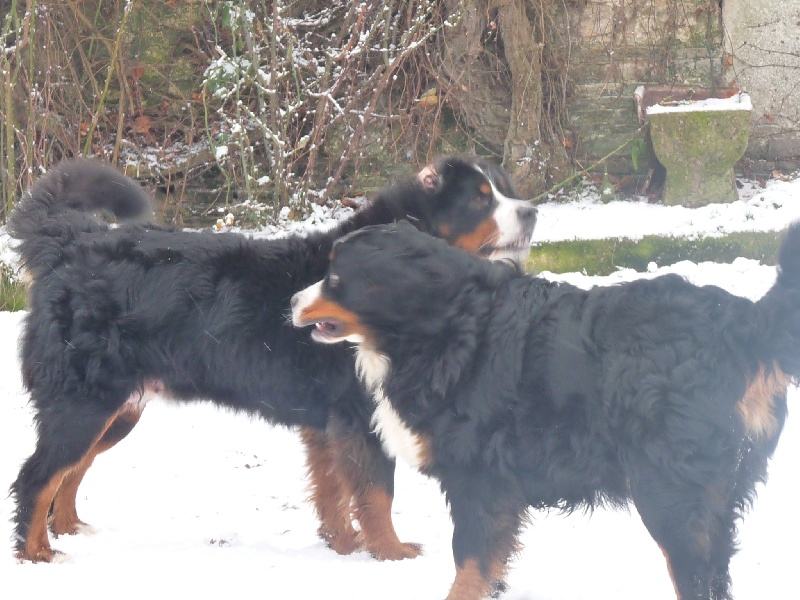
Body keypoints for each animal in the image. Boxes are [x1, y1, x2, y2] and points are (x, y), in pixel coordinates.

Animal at [7, 156, 536, 564]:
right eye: (480, 199)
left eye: (506, 191)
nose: (532, 212)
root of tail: (71, 242)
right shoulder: (360, 415)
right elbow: (377, 494)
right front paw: (391, 554)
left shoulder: (328, 424)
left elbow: (333, 492)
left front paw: (343, 546)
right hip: (83, 402)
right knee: (37, 477)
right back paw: (37, 555)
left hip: (116, 409)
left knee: (68, 474)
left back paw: (70, 529)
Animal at [292, 221, 800, 600]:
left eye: (335, 277)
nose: (293, 300)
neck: (446, 323)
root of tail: (741, 324)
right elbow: (487, 569)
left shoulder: (479, 482)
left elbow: (469, 565)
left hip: (670, 493)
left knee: (695, 575)